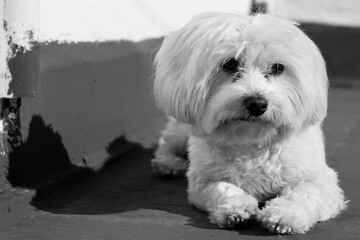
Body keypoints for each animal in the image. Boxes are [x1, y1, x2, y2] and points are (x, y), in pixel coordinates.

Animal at [150, 11, 346, 234]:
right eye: (230, 64)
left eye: (277, 68)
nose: (257, 104)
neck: (252, 140)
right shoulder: (202, 181)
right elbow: (222, 187)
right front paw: (237, 207)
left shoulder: (322, 180)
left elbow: (306, 192)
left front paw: (284, 214)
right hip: (180, 130)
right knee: (166, 143)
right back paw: (168, 163)